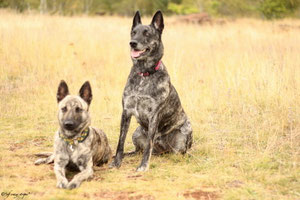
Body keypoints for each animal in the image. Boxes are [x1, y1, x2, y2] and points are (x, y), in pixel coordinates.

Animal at [109, 10, 192, 172]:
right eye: (133, 32)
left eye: (147, 33)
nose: (132, 43)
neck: (144, 74)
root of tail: (161, 150)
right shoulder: (126, 112)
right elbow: (120, 142)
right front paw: (117, 162)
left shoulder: (154, 115)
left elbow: (149, 144)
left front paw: (143, 166)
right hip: (137, 132)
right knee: (138, 149)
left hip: (185, 131)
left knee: (177, 151)